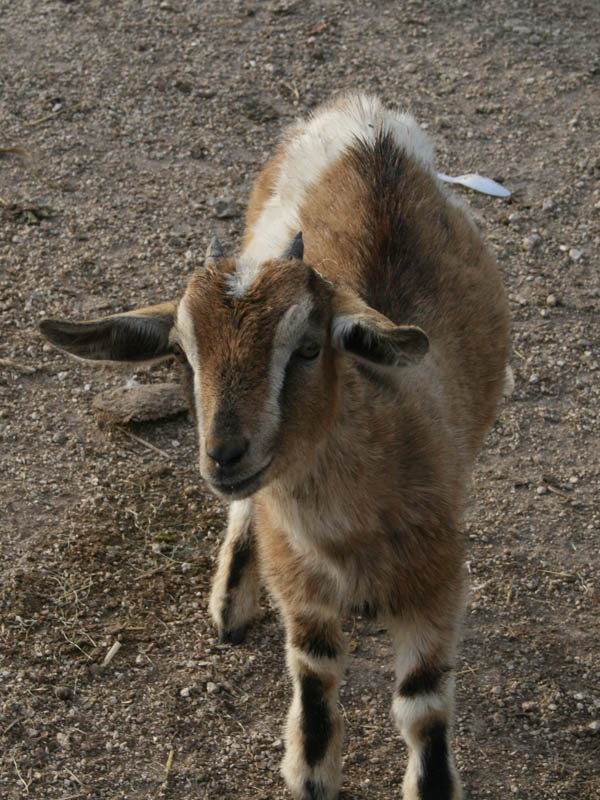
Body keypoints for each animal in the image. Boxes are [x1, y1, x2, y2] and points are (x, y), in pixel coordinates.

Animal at [41, 95, 510, 800]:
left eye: (310, 348)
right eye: (181, 355)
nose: (224, 454)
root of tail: (363, 117)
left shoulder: (436, 574)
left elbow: (423, 704)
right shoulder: (298, 575)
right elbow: (313, 672)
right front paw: (310, 772)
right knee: (245, 515)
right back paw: (230, 606)